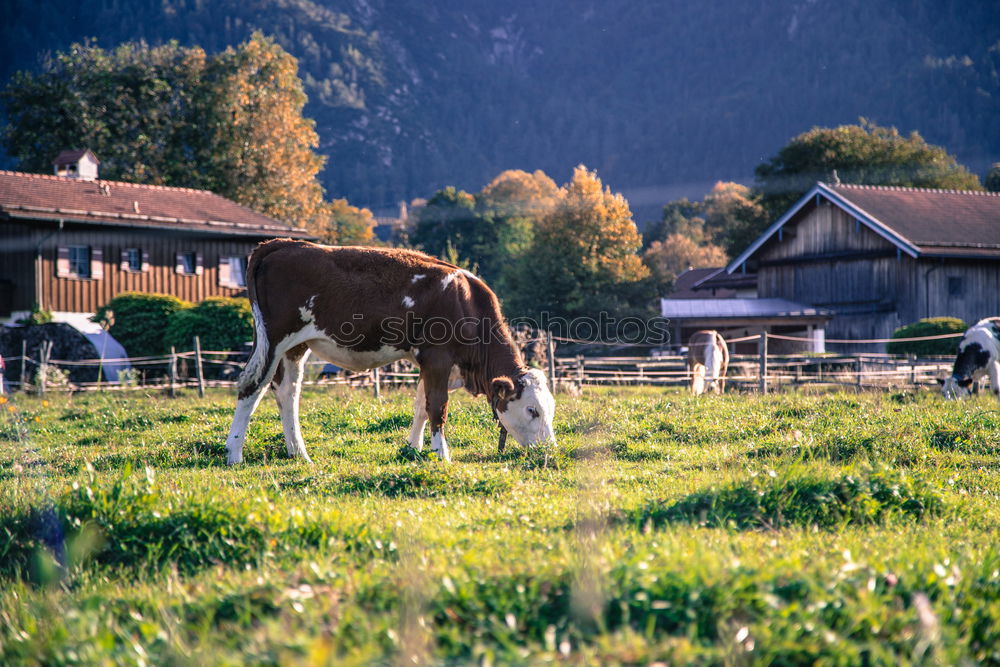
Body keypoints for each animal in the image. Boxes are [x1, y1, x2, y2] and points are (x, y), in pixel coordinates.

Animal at [223, 239, 560, 464]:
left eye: (551, 408)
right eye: (532, 410)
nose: (549, 450)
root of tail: (280, 244)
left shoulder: (432, 364)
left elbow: (421, 406)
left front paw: (414, 449)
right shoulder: (437, 358)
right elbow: (438, 407)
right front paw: (442, 455)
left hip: (296, 346)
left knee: (287, 392)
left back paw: (299, 453)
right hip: (273, 338)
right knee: (252, 386)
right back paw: (234, 453)